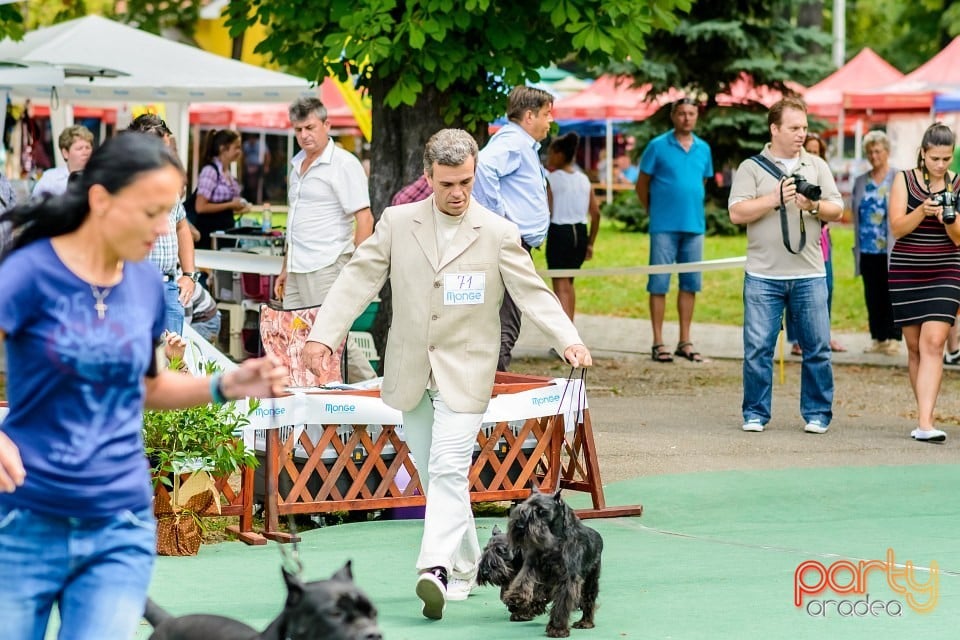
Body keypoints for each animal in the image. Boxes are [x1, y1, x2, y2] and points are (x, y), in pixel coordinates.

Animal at [496, 490, 600, 636]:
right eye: (523, 508)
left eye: (541, 511)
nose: (520, 526)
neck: (554, 539)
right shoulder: (532, 565)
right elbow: (523, 580)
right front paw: (516, 596)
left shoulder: (568, 578)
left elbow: (562, 604)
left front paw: (557, 628)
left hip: (590, 581)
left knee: (588, 600)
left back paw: (585, 622)